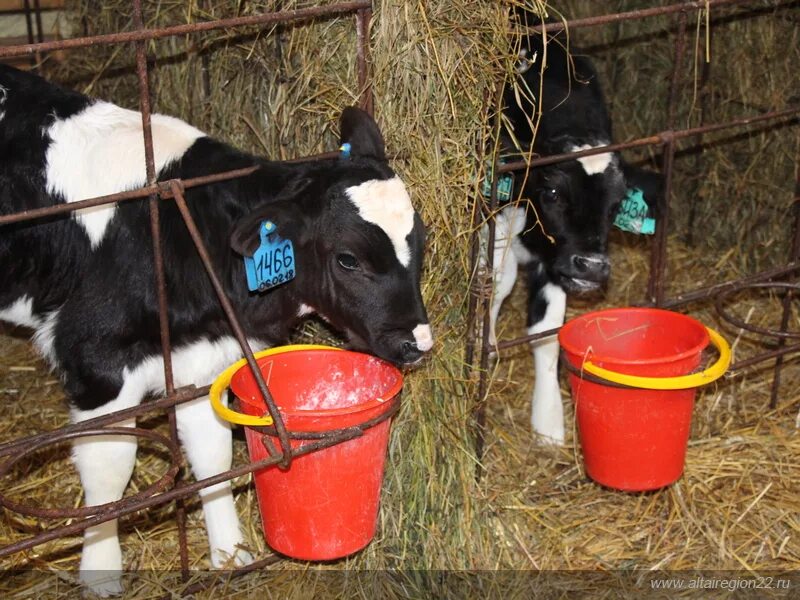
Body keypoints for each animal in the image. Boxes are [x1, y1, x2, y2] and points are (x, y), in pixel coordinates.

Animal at [0, 67, 432, 596]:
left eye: (422, 241)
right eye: (348, 259)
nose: (418, 342)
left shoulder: (201, 356)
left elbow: (212, 457)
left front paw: (230, 552)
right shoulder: (94, 357)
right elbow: (109, 471)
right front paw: (101, 571)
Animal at [490, 30, 660, 442]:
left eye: (617, 205)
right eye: (552, 192)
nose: (593, 266)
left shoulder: (558, 260)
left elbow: (548, 330)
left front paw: (548, 422)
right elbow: (498, 285)